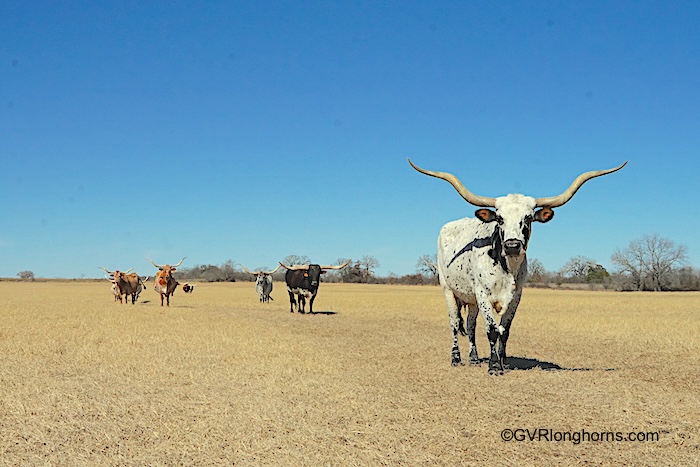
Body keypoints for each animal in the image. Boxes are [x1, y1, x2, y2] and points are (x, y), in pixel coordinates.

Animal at [408, 160, 628, 376]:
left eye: (528, 218)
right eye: (499, 218)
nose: (512, 245)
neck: (507, 270)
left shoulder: (516, 296)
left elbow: (504, 331)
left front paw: (503, 362)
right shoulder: (483, 294)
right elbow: (492, 330)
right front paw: (494, 367)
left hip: (471, 299)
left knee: (470, 325)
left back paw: (473, 358)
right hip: (448, 289)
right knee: (454, 323)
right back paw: (456, 359)